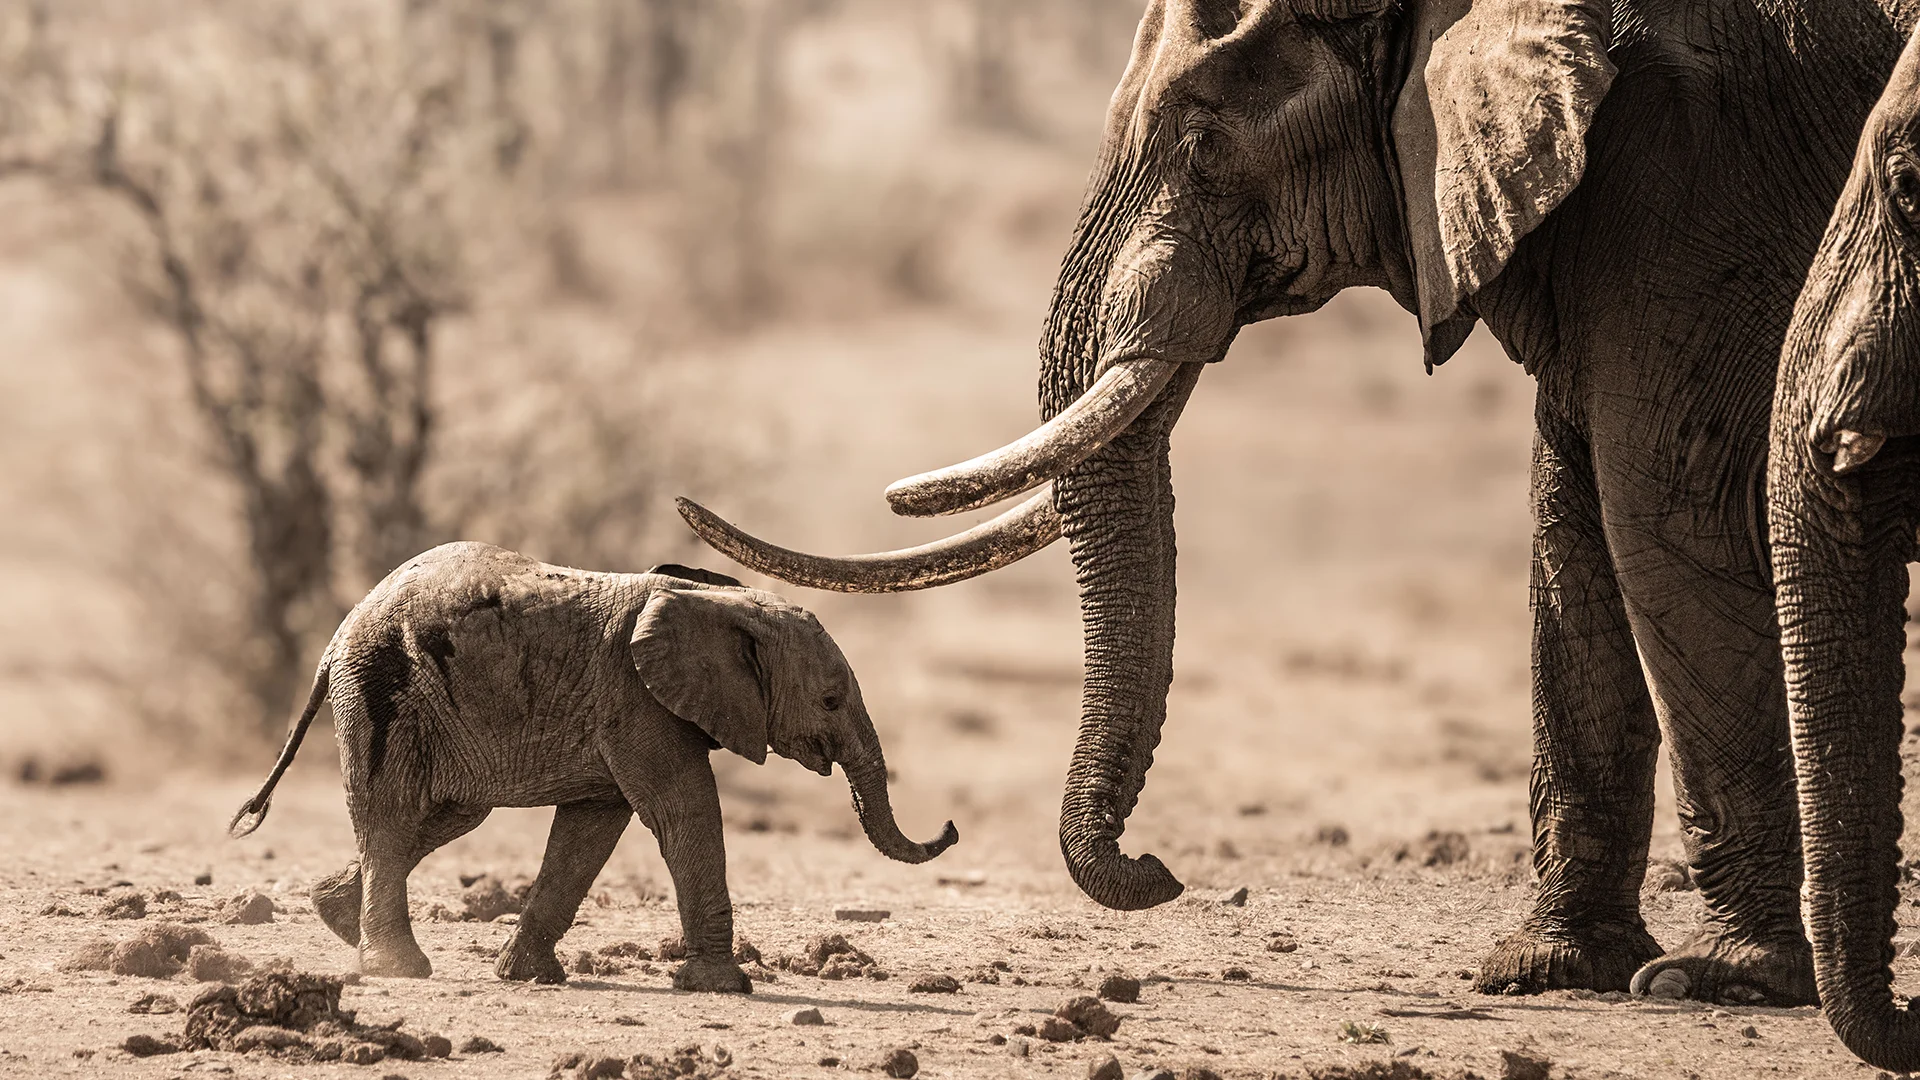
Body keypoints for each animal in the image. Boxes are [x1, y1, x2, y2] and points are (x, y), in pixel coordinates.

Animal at [227, 543, 957, 986]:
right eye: (830, 700)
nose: (949, 828)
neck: (723, 606)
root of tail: (336, 638)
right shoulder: (636, 700)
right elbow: (684, 811)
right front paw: (725, 987)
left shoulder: (624, 713)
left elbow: (591, 828)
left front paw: (527, 976)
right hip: (384, 690)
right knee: (394, 816)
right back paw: (398, 969)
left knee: (436, 820)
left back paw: (335, 917)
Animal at [677, 0, 1914, 1007]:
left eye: (1202, 140)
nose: (1161, 872)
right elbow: (1573, 529)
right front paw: (1547, 971)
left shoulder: (1692, 184)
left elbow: (1664, 519)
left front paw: (1720, 981)